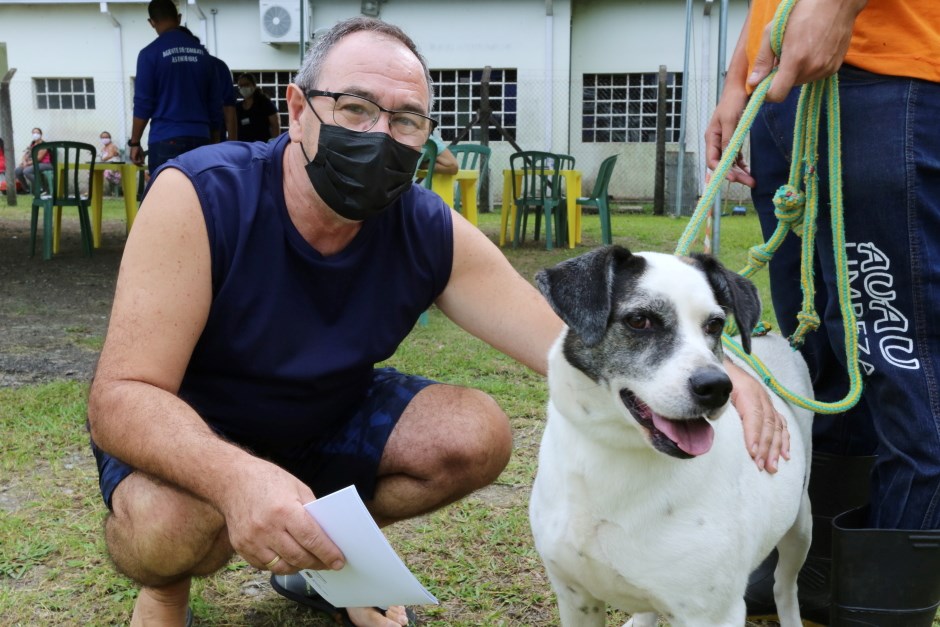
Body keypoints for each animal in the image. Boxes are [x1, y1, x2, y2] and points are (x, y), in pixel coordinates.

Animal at [532, 247, 812, 627]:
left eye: (715, 325)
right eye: (639, 320)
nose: (717, 387)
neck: (615, 454)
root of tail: (774, 337)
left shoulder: (714, 614)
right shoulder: (576, 596)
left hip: (801, 523)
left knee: (785, 586)